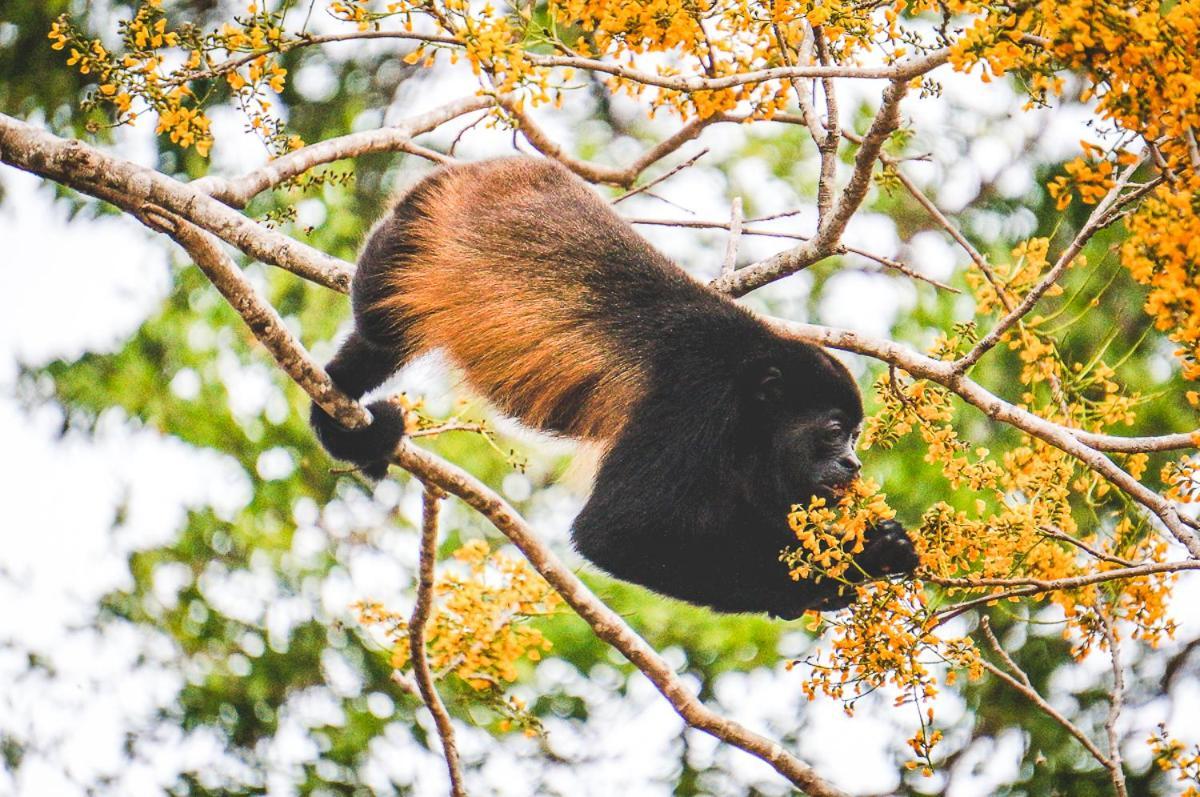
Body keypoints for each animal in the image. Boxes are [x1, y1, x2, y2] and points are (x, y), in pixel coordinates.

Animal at [312, 153, 916, 614]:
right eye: (834, 431)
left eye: (855, 436)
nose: (853, 463)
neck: (748, 392)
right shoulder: (692, 396)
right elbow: (619, 531)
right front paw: (846, 572)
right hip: (408, 230)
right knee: (383, 326)